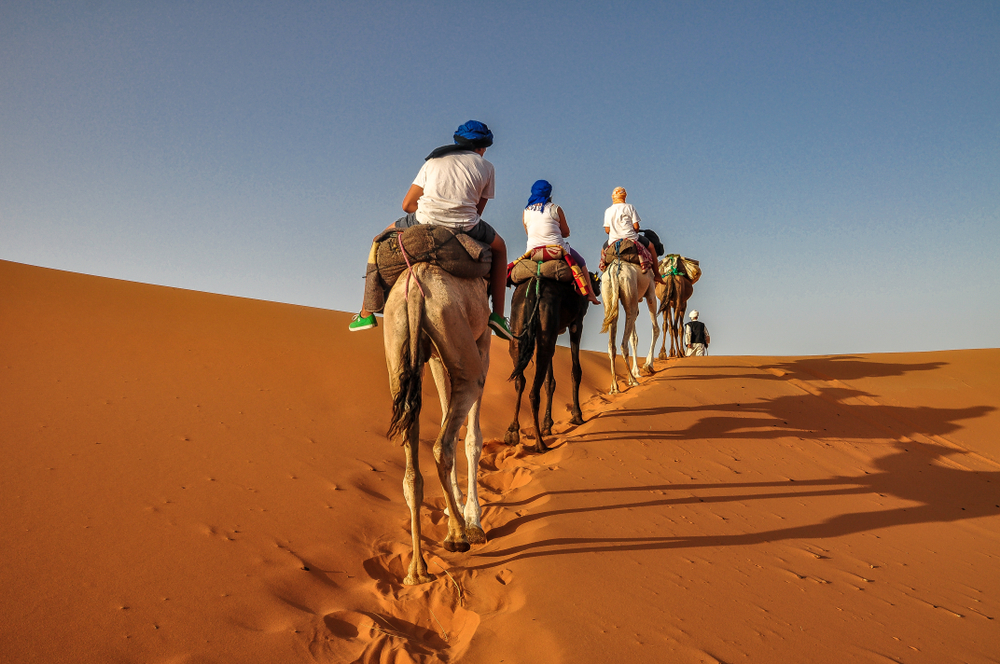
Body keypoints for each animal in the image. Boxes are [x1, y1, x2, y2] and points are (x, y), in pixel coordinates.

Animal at [380, 262, 490, 584]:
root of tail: (416, 291)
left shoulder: (438, 359)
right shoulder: (483, 341)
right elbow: (472, 438)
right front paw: (473, 519)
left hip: (398, 350)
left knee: (412, 471)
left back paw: (417, 571)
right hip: (461, 345)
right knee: (443, 444)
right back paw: (458, 535)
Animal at [600, 256, 656, 394]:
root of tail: (614, 270)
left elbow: (634, 338)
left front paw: (638, 370)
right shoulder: (651, 290)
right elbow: (655, 329)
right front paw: (648, 365)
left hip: (609, 295)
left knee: (612, 345)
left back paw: (614, 386)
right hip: (629, 289)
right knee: (623, 341)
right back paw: (632, 380)